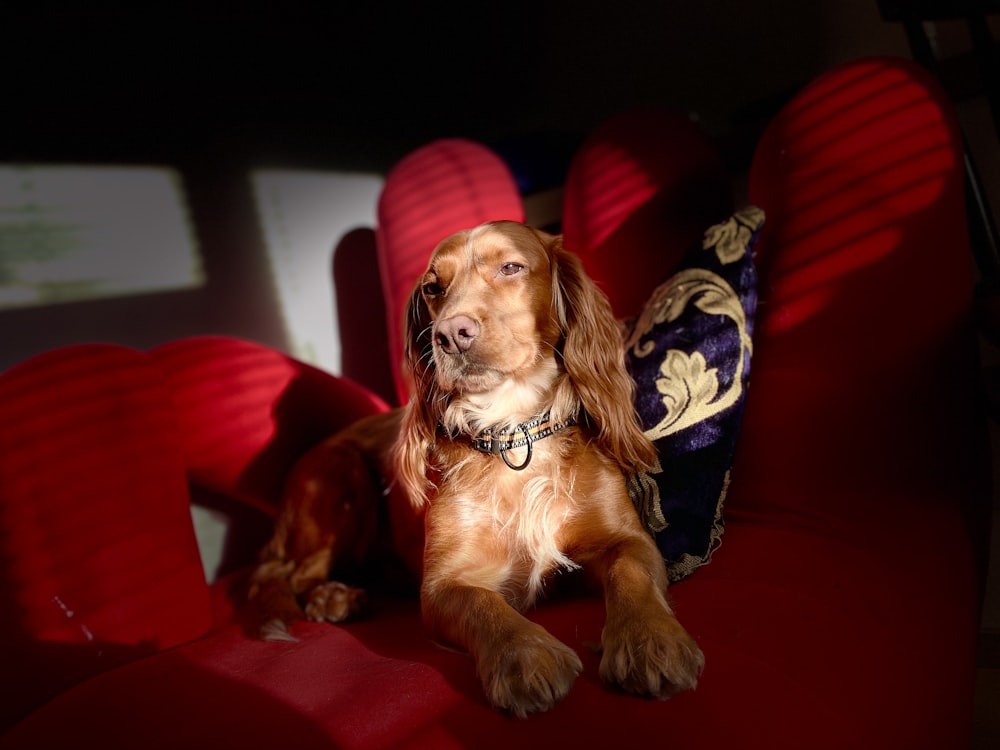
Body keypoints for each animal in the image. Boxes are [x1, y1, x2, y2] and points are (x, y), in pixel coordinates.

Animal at [247, 222, 704, 716]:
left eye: (511, 267)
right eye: (433, 288)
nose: (450, 334)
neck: (514, 431)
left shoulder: (627, 540)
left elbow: (631, 573)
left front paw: (650, 641)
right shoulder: (444, 583)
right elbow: (482, 605)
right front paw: (525, 656)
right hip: (342, 470)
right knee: (286, 574)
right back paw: (332, 597)